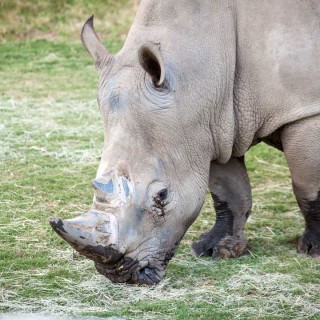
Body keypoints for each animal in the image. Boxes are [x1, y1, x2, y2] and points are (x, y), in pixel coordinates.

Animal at [49, 0, 320, 284]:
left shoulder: (306, 112)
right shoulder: (212, 126)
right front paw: (218, 250)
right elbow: (229, 191)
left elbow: (307, 186)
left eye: (162, 196)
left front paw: (313, 251)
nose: (120, 274)